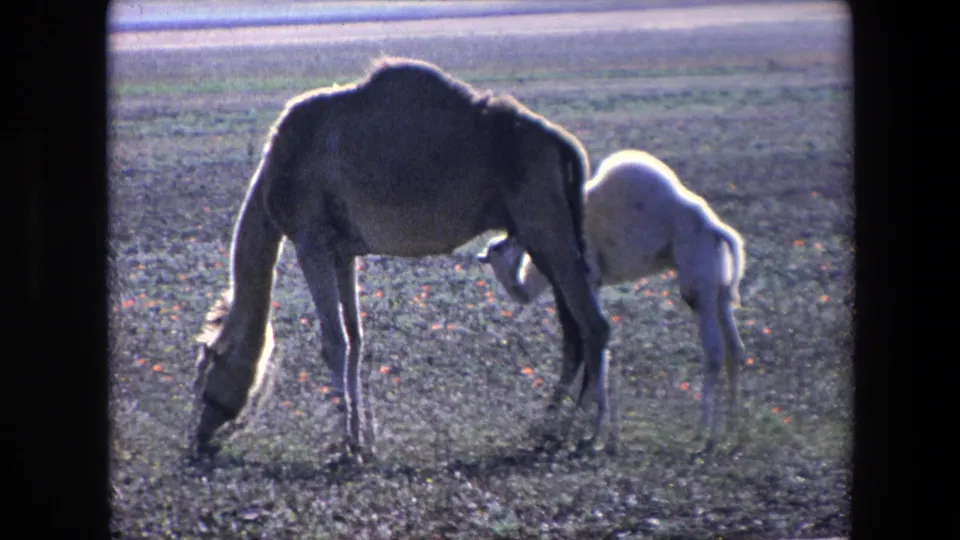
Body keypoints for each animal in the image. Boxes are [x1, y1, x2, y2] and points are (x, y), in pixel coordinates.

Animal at [191, 56, 614, 462]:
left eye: (205, 376)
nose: (200, 434)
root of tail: (564, 144)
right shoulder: (343, 251)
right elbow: (356, 339)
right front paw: (364, 439)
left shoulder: (310, 240)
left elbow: (334, 341)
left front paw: (344, 443)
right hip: (541, 235)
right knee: (572, 330)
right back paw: (548, 428)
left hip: (545, 225)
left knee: (593, 325)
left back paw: (589, 434)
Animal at [478, 149, 747, 450]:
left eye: (497, 246)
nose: (511, 236)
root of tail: (718, 230)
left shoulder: (589, 277)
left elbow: (595, 338)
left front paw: (593, 432)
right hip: (718, 286)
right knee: (734, 348)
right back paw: (733, 430)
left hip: (697, 281)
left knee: (713, 350)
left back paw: (704, 433)